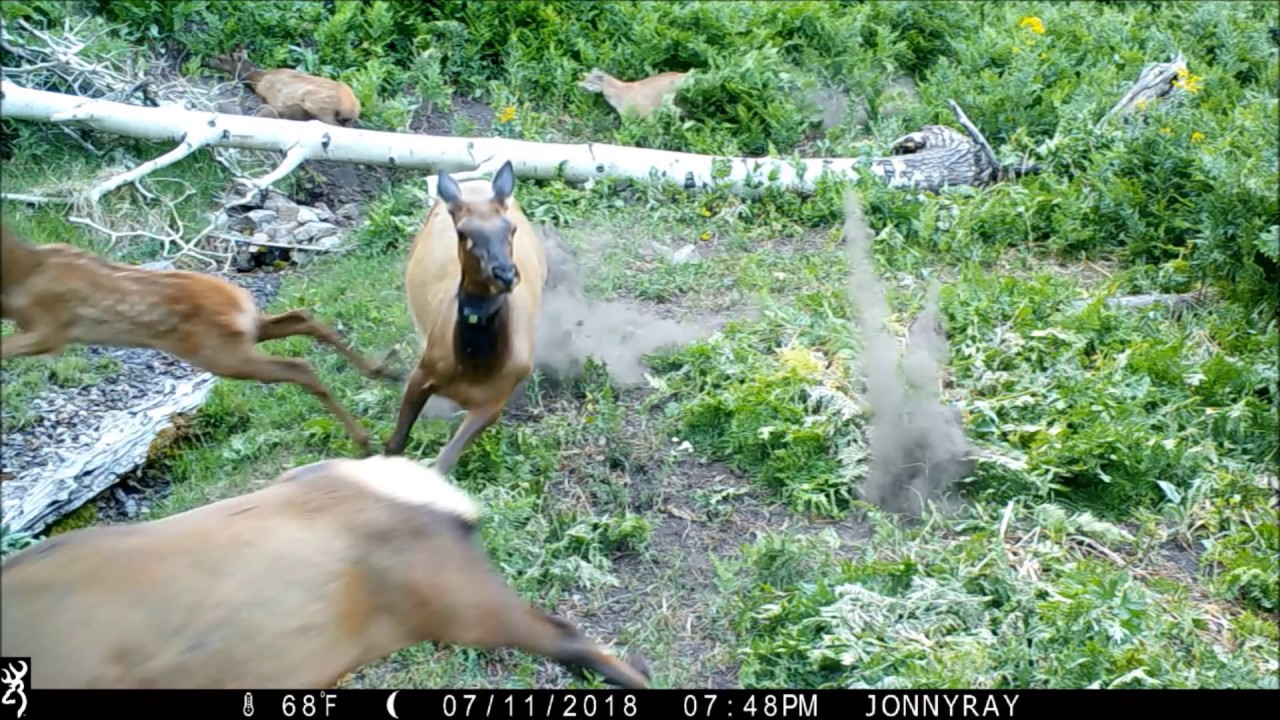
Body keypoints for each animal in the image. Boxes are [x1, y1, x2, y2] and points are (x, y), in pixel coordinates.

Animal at [0, 222, 397, 455]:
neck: (19, 275)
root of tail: (237, 300)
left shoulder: (50, 328)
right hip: (243, 336)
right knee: (303, 318)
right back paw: (382, 371)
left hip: (221, 354)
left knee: (298, 365)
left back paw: (365, 441)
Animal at [203, 44, 361, 127]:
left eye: (221, 58)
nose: (206, 61)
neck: (258, 80)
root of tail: (352, 107)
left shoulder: (274, 102)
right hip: (345, 120)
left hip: (321, 107)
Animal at [383, 160, 547, 474]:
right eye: (462, 232)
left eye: (511, 228)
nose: (506, 274)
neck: (472, 367)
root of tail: (478, 182)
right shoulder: (422, 372)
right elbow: (394, 444)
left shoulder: (495, 401)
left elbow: (443, 462)